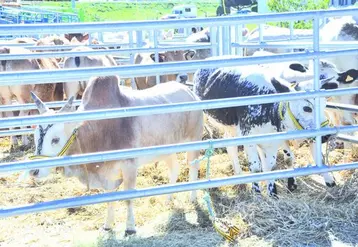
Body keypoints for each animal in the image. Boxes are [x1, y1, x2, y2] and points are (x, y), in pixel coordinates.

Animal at [25, 76, 204, 235]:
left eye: (55, 139)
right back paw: (168, 200)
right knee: (174, 169)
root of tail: (190, 92)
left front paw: (130, 228)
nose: (34, 171)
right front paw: (108, 225)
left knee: (193, 168)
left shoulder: (129, 166)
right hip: (166, 150)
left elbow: (128, 198)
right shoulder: (108, 172)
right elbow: (109, 198)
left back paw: (192, 198)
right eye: (35, 136)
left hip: (194, 141)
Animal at [193, 63, 338, 197]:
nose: (327, 135)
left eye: (324, 105)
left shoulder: (273, 141)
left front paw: (273, 192)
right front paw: (258, 193)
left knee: (230, 145)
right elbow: (256, 168)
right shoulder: (248, 137)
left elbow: (272, 165)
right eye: (307, 108)